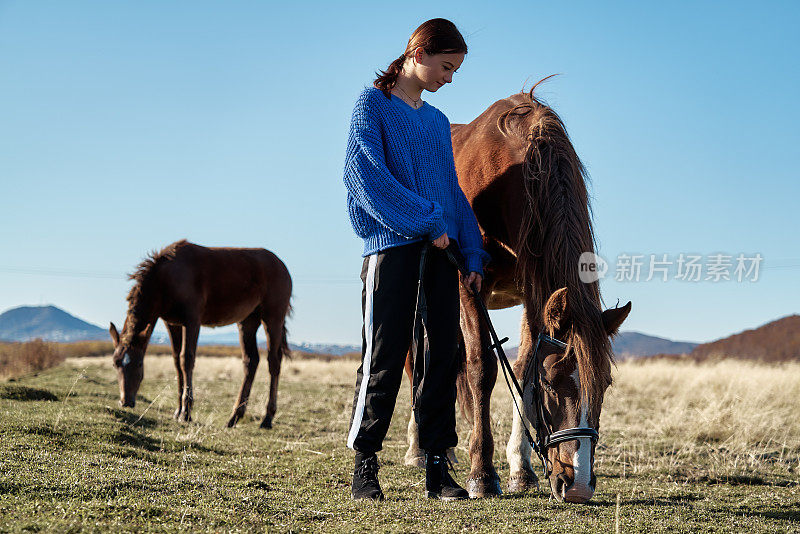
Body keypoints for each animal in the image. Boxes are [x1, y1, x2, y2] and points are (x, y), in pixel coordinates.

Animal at [108, 241, 292, 430]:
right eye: (115, 364)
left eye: (139, 364)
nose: (126, 401)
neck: (167, 277)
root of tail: (281, 265)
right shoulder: (173, 324)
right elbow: (177, 362)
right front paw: (178, 411)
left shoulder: (192, 320)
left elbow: (186, 359)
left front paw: (186, 413)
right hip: (248, 322)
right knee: (251, 361)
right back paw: (234, 417)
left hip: (272, 319)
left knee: (274, 362)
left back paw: (267, 418)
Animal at [406, 79, 632, 502]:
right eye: (553, 384)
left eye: (605, 384)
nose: (578, 485)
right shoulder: (469, 285)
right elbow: (481, 369)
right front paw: (482, 473)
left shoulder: (534, 293)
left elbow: (522, 370)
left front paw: (521, 469)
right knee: (416, 361)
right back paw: (417, 448)